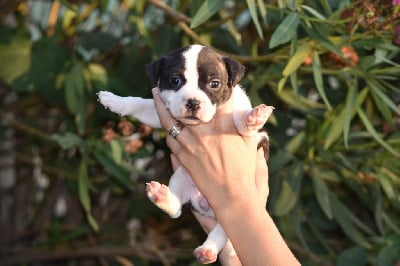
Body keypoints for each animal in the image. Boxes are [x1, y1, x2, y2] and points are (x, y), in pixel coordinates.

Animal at [97, 44, 274, 264]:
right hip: (181, 177)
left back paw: (208, 250)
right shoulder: (159, 111)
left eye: (214, 84)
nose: (193, 102)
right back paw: (161, 196)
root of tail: (204, 204)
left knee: (223, 231)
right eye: (175, 81)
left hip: (237, 207)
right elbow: (140, 104)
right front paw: (114, 100)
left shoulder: (251, 132)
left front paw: (253, 117)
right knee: (176, 210)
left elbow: (242, 123)